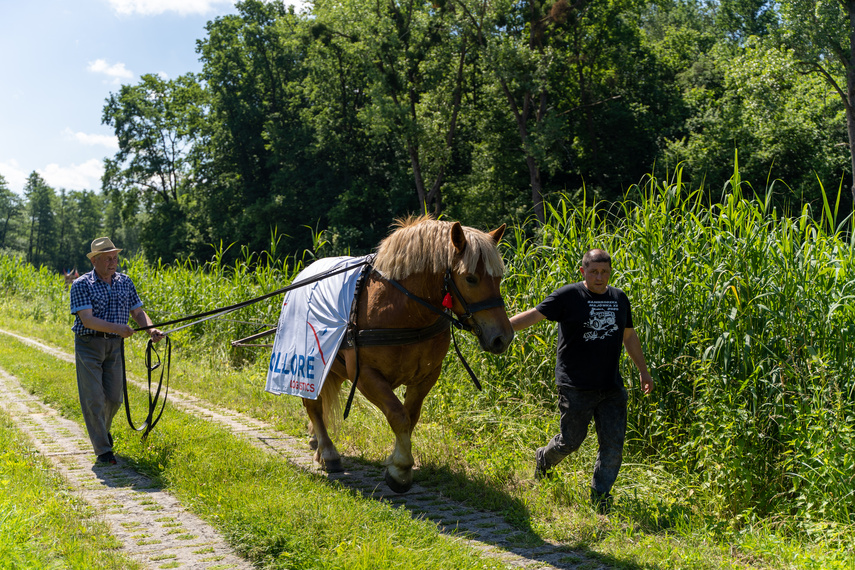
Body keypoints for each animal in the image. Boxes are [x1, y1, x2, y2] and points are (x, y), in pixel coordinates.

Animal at [302, 215, 516, 490]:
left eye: (498, 277)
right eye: (470, 278)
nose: (503, 337)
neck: (403, 309)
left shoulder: (426, 376)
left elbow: (410, 416)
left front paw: (397, 461)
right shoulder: (366, 376)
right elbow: (398, 415)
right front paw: (401, 469)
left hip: (333, 369)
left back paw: (320, 448)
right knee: (313, 406)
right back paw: (328, 452)